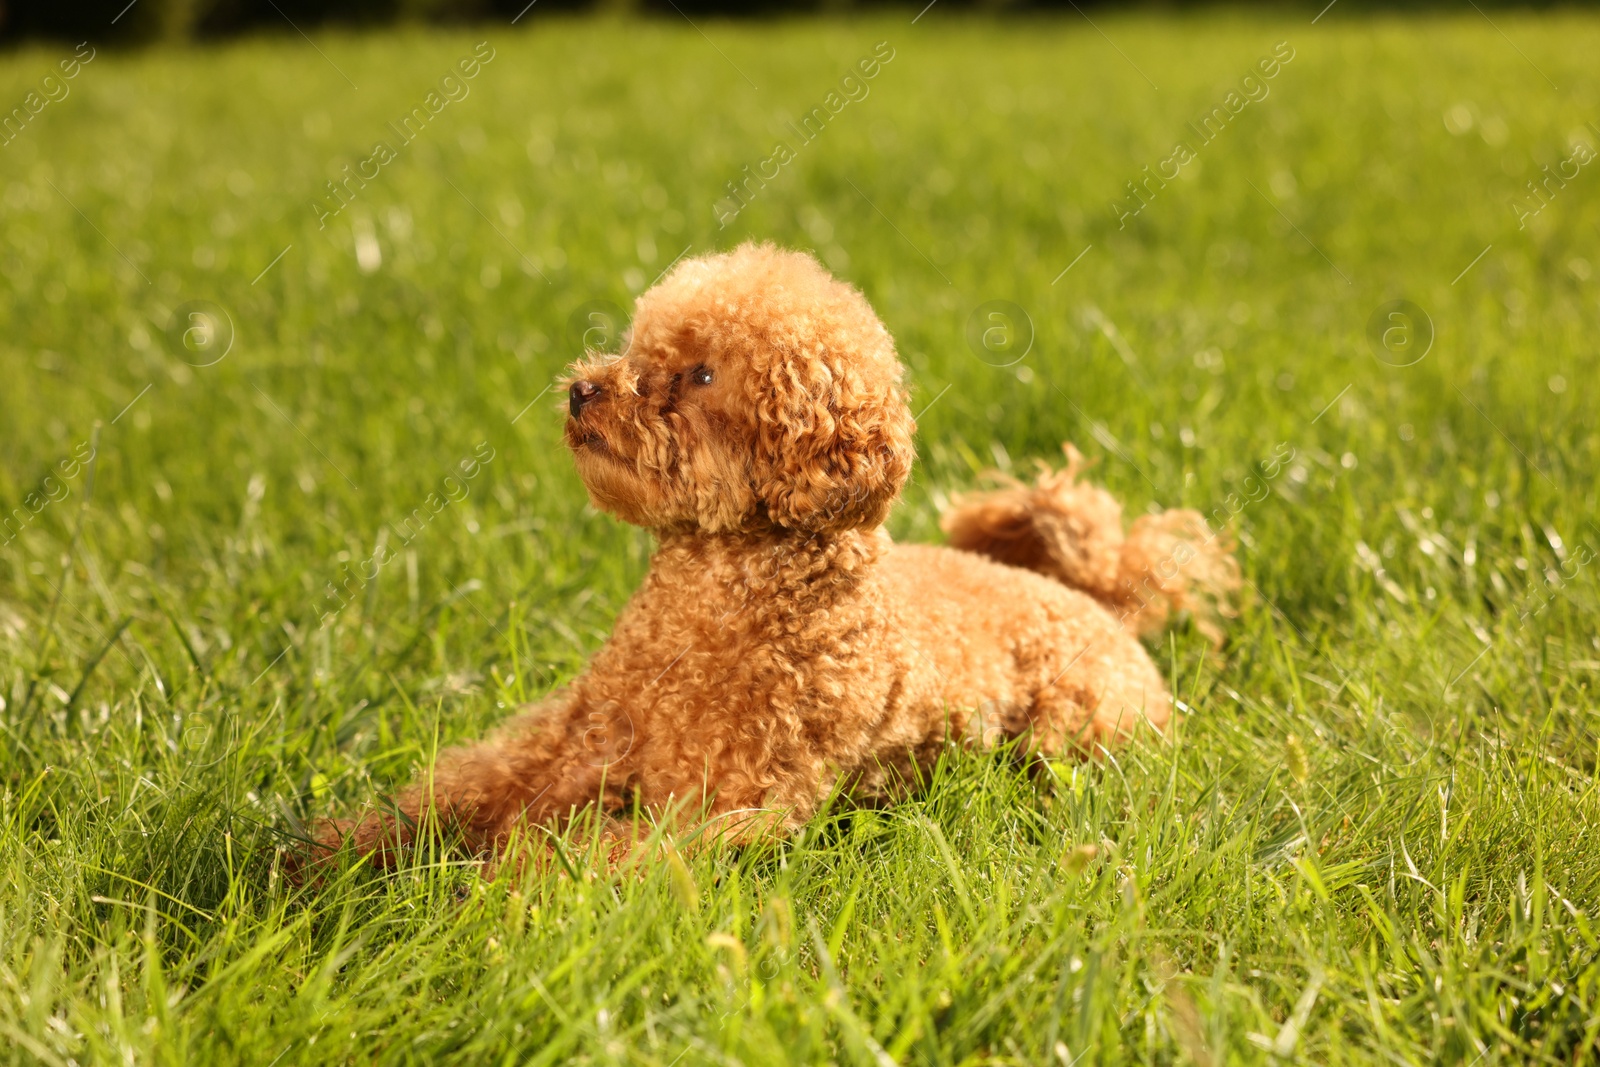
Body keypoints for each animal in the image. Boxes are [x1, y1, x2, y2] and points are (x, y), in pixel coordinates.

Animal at [312, 241, 1235, 870]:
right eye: (640, 348)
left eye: (702, 375)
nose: (582, 391)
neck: (711, 605)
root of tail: (1106, 604)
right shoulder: (569, 743)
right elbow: (454, 794)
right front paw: (332, 853)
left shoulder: (730, 803)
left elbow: (583, 856)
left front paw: (482, 890)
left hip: (1073, 736)